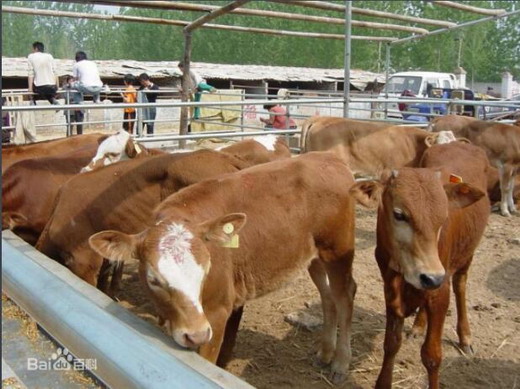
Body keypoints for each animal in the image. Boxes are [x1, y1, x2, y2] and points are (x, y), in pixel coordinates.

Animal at [88, 152, 358, 382]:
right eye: (154, 279)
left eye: (206, 270)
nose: (195, 334)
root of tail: (330, 158)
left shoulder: (217, 313)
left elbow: (208, 359)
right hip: (315, 256)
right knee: (327, 295)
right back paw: (325, 352)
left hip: (338, 250)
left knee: (344, 294)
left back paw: (340, 363)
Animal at [352, 142, 490, 388]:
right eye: (399, 214)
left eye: (443, 217)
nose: (432, 276)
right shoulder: (390, 287)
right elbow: (391, 343)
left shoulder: (440, 292)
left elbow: (432, 356)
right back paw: (418, 326)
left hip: (466, 256)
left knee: (461, 285)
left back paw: (465, 336)